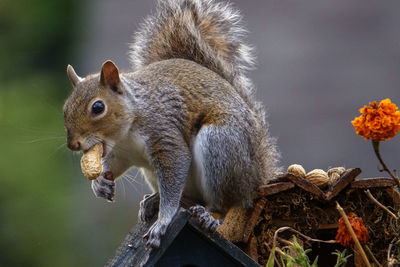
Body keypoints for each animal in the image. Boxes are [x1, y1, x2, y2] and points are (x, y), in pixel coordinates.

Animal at [63, 0, 282, 249]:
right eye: (65, 108)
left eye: (98, 107)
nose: (72, 144)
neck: (126, 133)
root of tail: (258, 175)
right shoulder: (122, 153)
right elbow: (113, 165)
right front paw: (99, 183)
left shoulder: (163, 132)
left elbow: (176, 163)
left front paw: (163, 222)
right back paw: (152, 200)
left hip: (221, 147)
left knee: (224, 203)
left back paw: (210, 215)